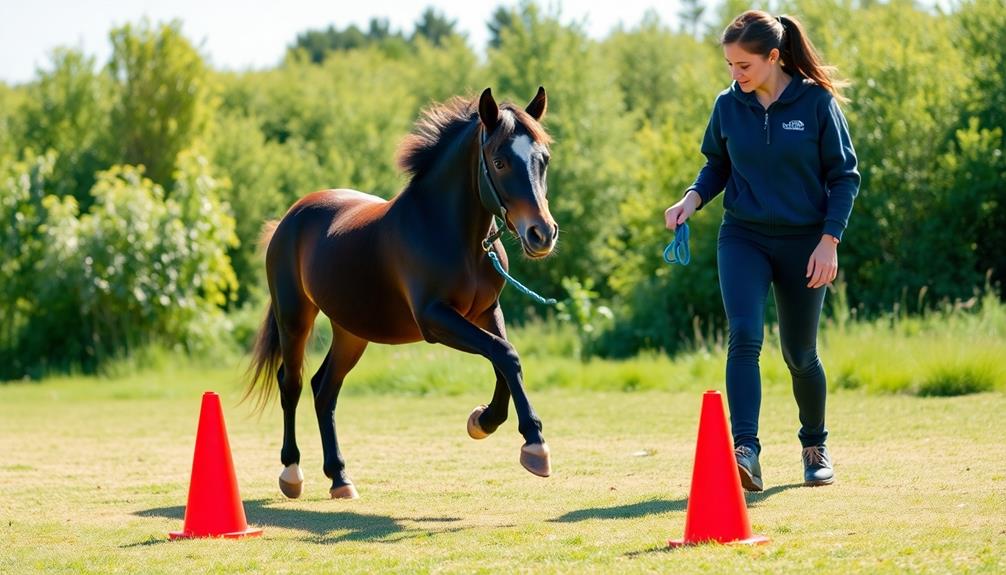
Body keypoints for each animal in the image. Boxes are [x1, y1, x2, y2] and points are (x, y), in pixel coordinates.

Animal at [243, 85, 559, 498]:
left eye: (544, 160)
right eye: (500, 161)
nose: (542, 234)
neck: (450, 233)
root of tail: (288, 219)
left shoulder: (487, 312)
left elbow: (505, 357)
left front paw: (483, 421)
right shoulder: (434, 319)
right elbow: (504, 354)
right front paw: (533, 444)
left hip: (351, 331)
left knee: (324, 389)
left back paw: (340, 478)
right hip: (294, 319)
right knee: (291, 384)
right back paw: (292, 473)